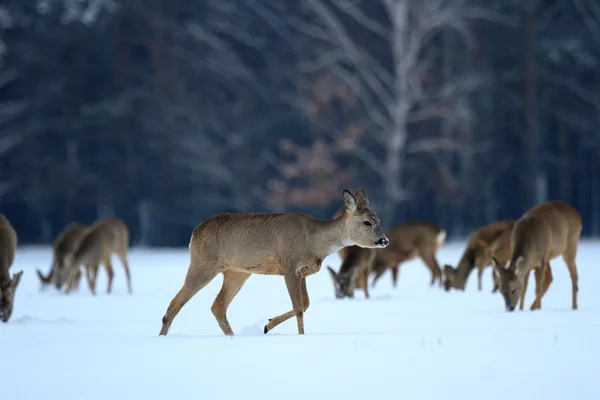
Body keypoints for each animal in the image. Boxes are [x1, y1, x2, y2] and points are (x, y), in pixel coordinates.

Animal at [158, 189, 390, 336]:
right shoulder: (289, 264)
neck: (314, 239)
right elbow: (299, 307)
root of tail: (194, 233)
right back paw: (162, 337)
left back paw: (233, 336)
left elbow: (305, 304)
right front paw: (300, 337)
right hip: (203, 263)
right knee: (175, 304)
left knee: (218, 306)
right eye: (366, 222)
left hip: (237, 272)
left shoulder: (302, 272)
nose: (384, 240)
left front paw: (267, 326)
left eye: (378, 220)